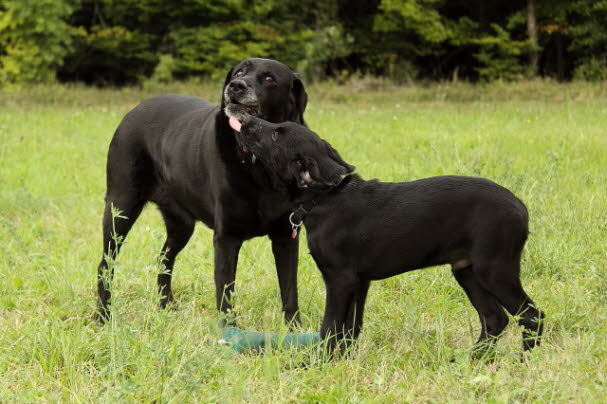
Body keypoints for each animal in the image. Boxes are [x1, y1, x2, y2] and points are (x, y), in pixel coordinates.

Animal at [98, 57, 308, 326]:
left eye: (269, 78)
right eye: (239, 71)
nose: (236, 86)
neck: (258, 161)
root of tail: (134, 110)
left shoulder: (286, 235)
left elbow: (290, 290)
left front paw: (295, 329)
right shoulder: (226, 237)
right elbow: (226, 293)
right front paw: (229, 332)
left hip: (181, 224)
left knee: (164, 259)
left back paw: (166, 307)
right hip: (121, 207)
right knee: (106, 264)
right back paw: (103, 316)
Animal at [232, 115, 548, 356]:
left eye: (276, 134)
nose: (244, 119)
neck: (323, 199)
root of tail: (520, 207)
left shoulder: (340, 279)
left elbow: (330, 326)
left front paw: (317, 363)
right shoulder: (359, 282)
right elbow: (350, 329)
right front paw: (341, 361)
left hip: (494, 268)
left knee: (532, 316)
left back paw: (523, 362)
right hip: (466, 270)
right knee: (495, 318)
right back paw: (473, 360)